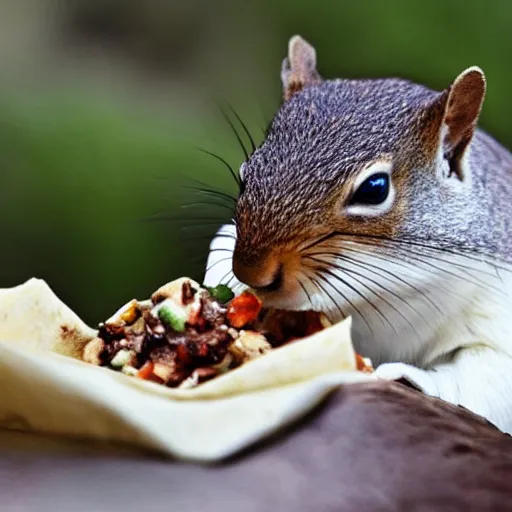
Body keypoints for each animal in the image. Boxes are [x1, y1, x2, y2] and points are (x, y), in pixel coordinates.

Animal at [203, 33, 512, 432]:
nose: (252, 273)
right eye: (247, 172)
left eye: (374, 189)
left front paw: (410, 377)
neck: (389, 291)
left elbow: (486, 378)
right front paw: (223, 276)